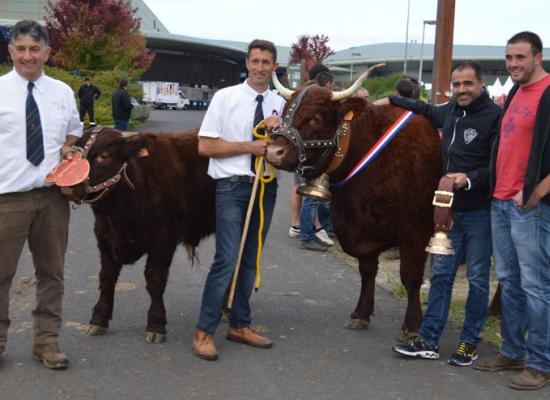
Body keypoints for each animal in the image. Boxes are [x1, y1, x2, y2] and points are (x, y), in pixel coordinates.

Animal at [64, 128, 216, 344]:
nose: (68, 186)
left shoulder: (164, 238)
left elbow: (155, 280)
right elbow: (106, 278)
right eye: (72, 154)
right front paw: (98, 320)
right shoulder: (104, 236)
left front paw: (156, 325)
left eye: (104, 156)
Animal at [266, 67, 444, 336]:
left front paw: (413, 325)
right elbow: (367, 271)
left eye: (315, 119)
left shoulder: (415, 229)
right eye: (285, 113)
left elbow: (410, 277)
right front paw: (361, 313)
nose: (274, 152)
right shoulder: (362, 231)